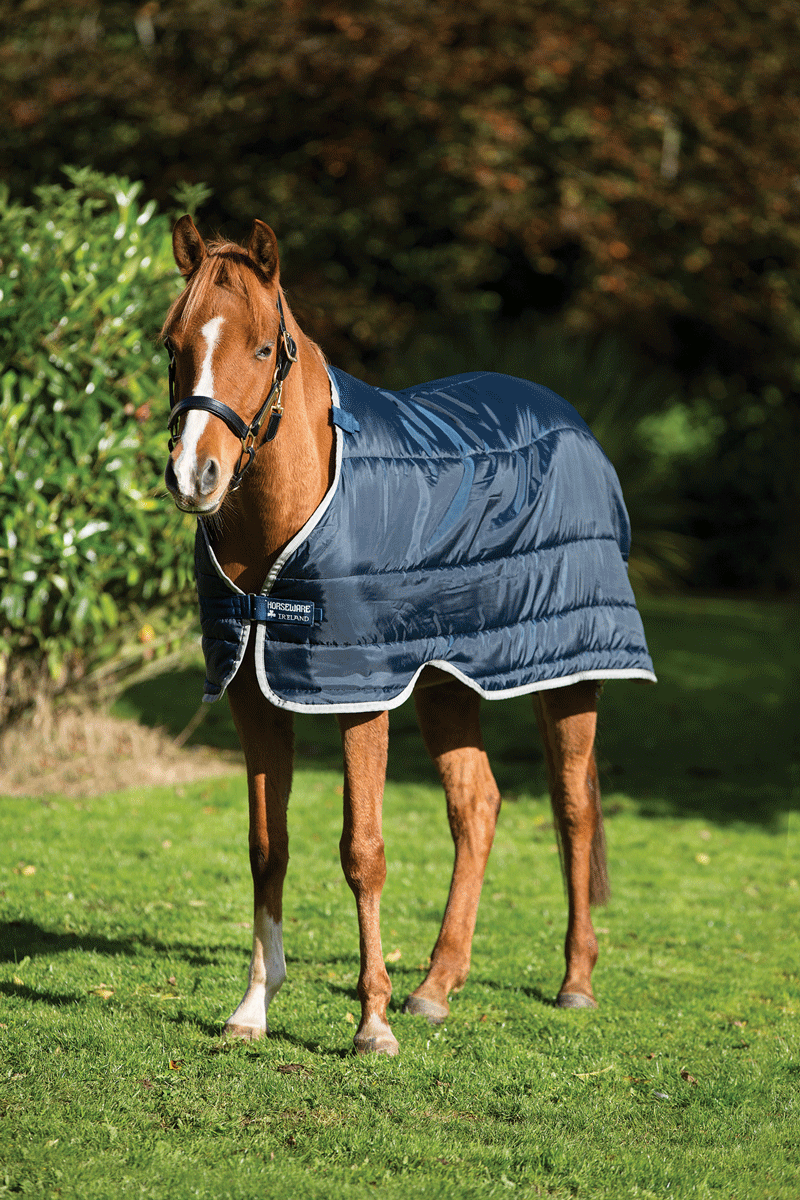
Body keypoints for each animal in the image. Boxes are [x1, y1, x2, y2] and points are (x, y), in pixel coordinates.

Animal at [162, 215, 655, 1055]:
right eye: (173, 345)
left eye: (261, 349)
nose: (196, 475)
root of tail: (571, 421)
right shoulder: (254, 696)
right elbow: (268, 848)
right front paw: (253, 1009)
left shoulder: (360, 697)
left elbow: (363, 852)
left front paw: (371, 1024)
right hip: (446, 684)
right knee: (477, 807)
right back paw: (436, 987)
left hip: (569, 675)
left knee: (572, 810)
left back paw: (575, 982)